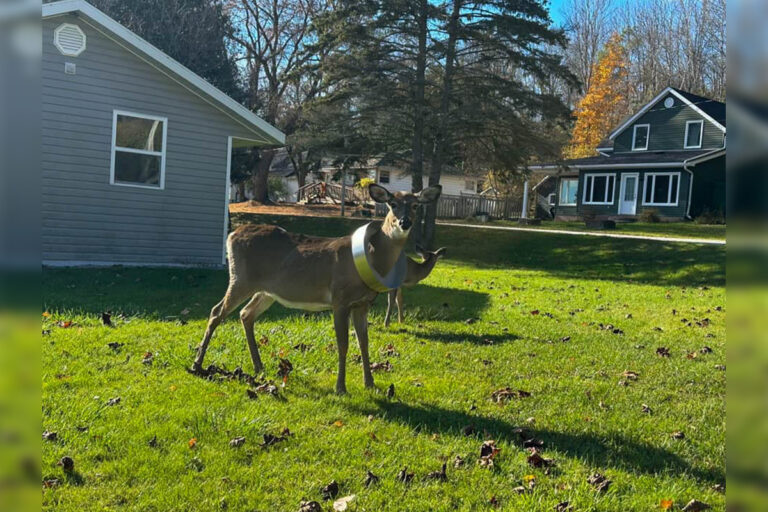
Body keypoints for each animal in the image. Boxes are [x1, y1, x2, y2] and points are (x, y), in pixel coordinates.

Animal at [192, 183, 442, 394]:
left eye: (416, 205)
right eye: (392, 203)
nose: (404, 222)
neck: (373, 257)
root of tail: (232, 234)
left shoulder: (362, 303)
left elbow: (364, 342)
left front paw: (370, 384)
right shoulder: (340, 298)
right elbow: (343, 344)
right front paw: (341, 388)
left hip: (266, 291)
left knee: (246, 314)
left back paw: (259, 366)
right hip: (241, 278)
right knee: (217, 311)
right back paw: (198, 364)